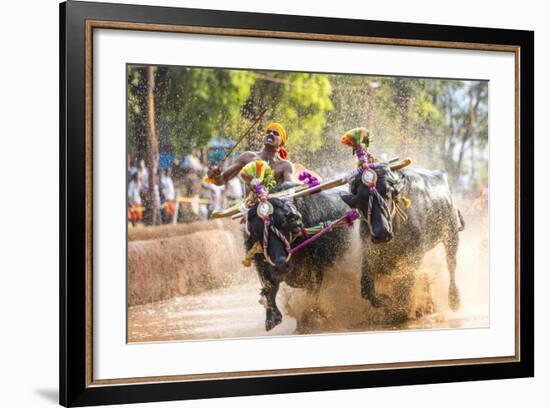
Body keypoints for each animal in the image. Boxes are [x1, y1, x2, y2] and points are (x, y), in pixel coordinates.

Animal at [342, 163, 468, 318]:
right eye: (360, 200)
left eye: (387, 194)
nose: (381, 233)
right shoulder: (369, 251)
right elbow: (366, 287)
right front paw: (387, 302)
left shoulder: (414, 253)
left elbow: (405, 281)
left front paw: (400, 310)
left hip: (451, 234)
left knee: (451, 264)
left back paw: (454, 299)